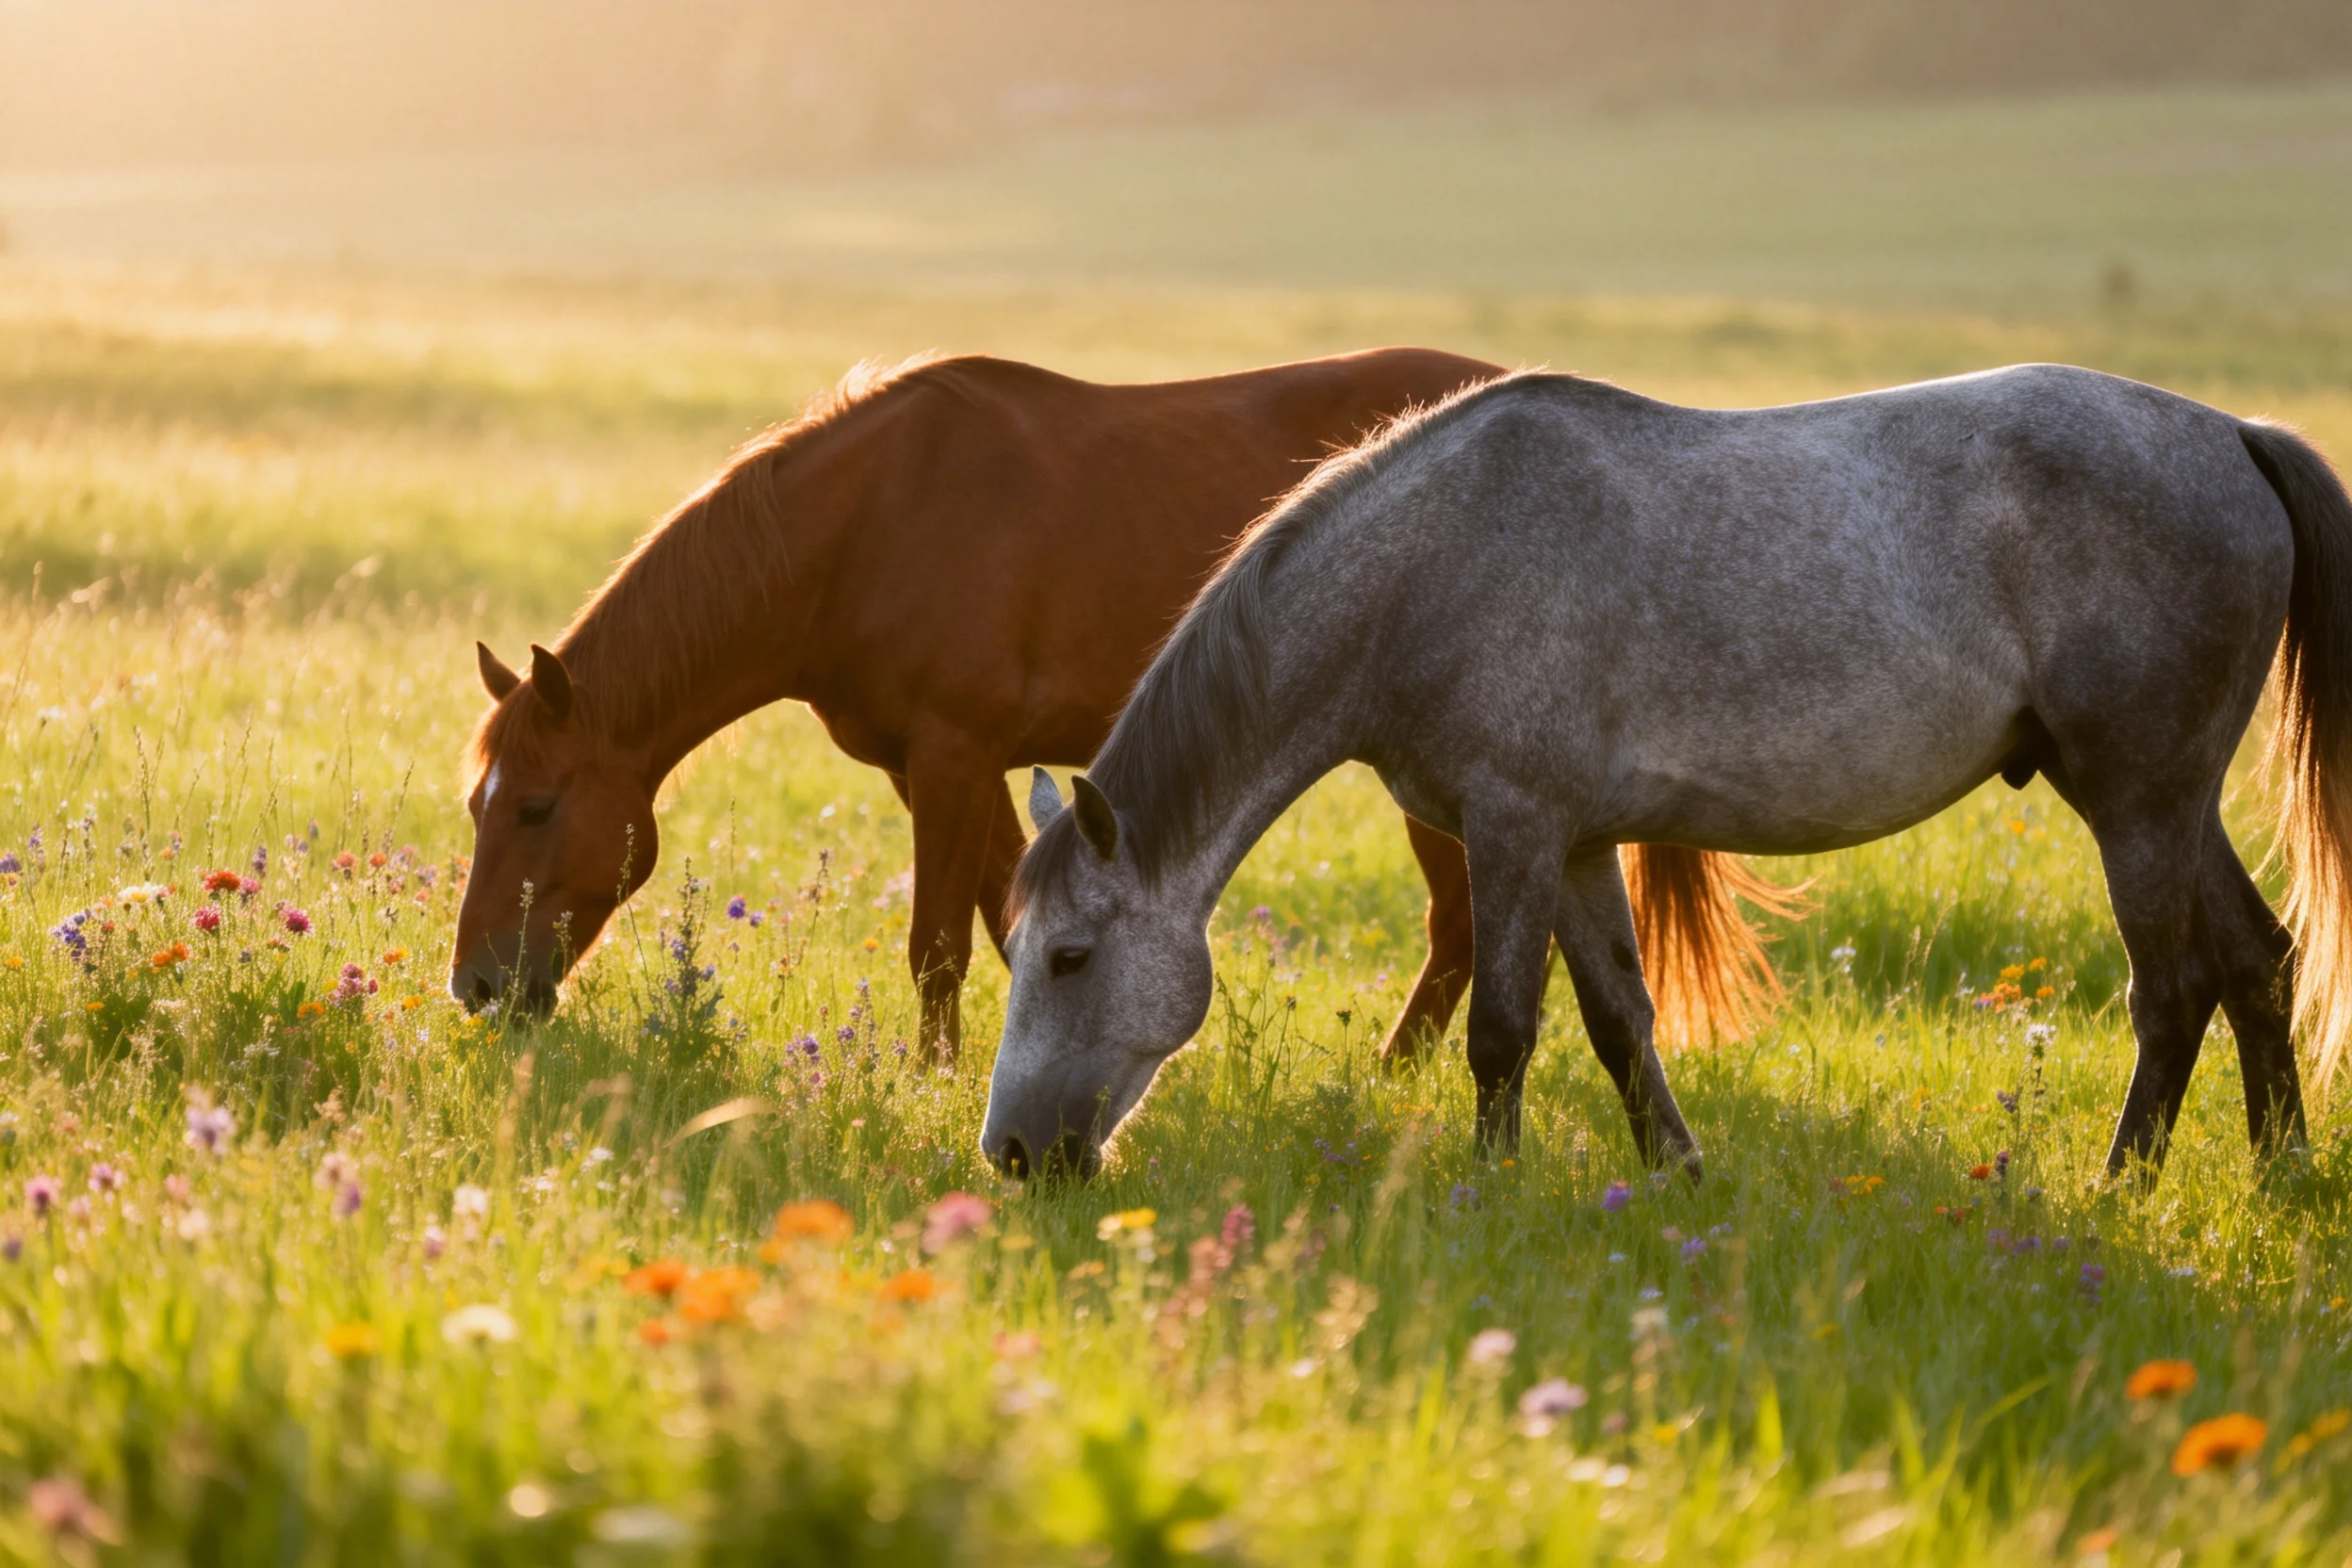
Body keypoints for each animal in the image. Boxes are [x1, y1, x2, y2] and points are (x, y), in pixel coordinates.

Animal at [454, 348, 1771, 1059]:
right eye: (480, 806)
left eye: (533, 807)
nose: (475, 986)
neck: (863, 528)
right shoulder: (950, 767)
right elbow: (1004, 926)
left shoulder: (952, 754)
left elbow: (938, 945)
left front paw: (930, 1083)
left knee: (1457, 930)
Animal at [984, 363, 2352, 1184]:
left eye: (1070, 957)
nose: (1009, 1152)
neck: (1427, 572)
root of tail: (2234, 434)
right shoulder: (1583, 843)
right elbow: (1617, 1020)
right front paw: (1675, 1171)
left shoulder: (1515, 828)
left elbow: (1502, 1029)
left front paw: (1490, 1192)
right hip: (2160, 800)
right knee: (2258, 958)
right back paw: (2279, 1172)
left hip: (2137, 800)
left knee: (2172, 988)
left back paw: (2121, 1184)